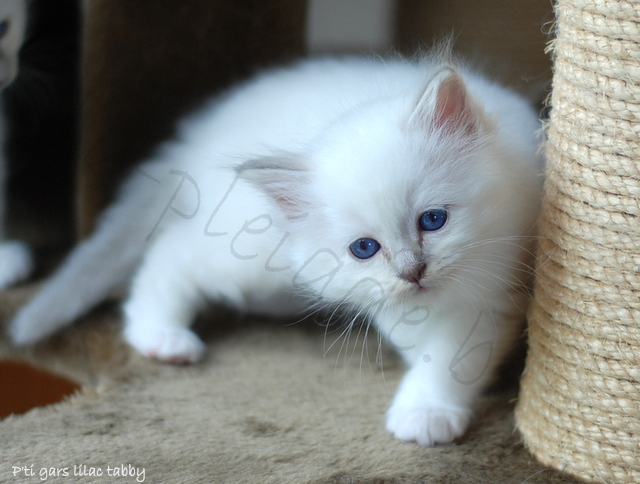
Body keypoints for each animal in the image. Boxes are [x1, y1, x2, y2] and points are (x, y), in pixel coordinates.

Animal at [10, 53, 544, 446]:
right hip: (248, 256)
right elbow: (440, 352)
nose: (412, 272)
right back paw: (162, 337)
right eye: (365, 248)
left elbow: (444, 352)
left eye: (433, 220)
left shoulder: (495, 287)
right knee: (169, 253)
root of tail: (200, 135)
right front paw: (426, 412)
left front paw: (424, 397)